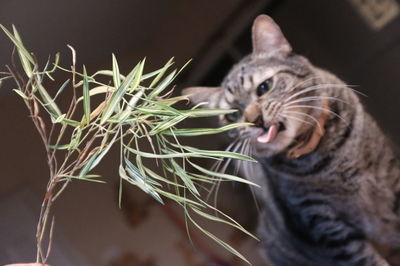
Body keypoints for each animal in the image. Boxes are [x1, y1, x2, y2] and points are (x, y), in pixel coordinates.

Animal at [184, 15, 400, 266]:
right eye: (232, 116)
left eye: (264, 87)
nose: (254, 120)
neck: (325, 157)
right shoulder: (322, 224)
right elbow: (364, 259)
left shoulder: (390, 177)